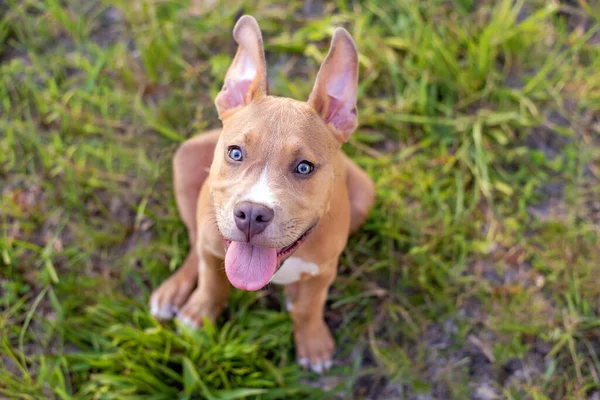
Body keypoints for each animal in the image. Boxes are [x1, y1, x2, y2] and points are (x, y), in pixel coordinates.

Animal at [151, 14, 376, 372]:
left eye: (304, 167)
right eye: (235, 153)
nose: (252, 214)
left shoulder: (325, 270)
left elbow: (309, 307)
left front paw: (312, 342)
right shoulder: (213, 248)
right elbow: (211, 282)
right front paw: (199, 315)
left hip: (365, 192)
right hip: (186, 159)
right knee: (194, 243)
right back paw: (174, 292)